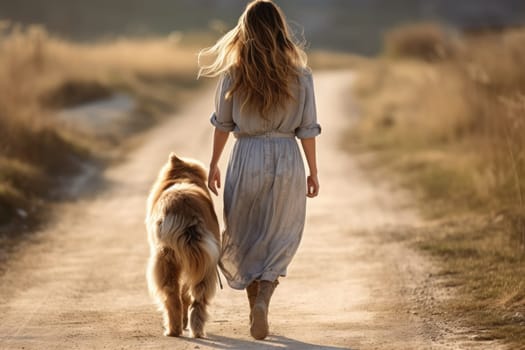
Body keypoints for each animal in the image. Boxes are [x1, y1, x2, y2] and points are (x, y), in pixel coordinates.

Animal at [144, 152, 220, 336]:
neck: (183, 176)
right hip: (205, 262)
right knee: (198, 298)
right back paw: (196, 329)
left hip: (166, 258)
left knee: (172, 295)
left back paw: (173, 329)